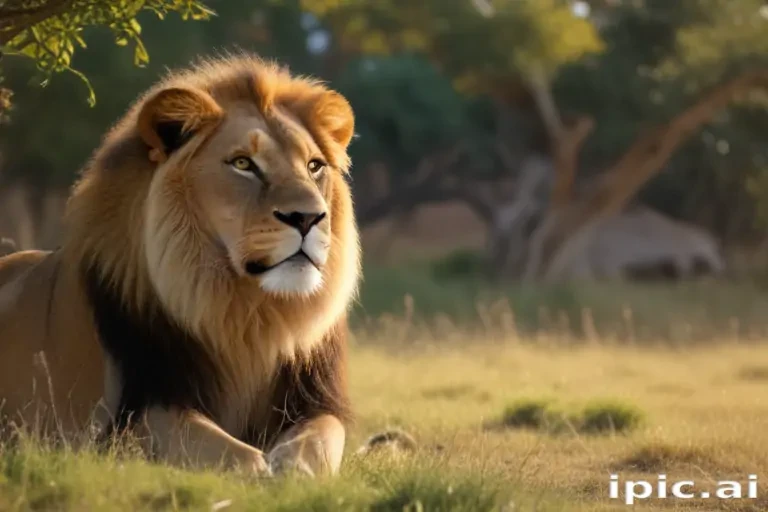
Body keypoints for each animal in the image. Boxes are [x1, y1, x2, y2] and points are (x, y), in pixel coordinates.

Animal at [0, 54, 361, 477]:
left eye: (314, 166)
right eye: (243, 163)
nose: (309, 218)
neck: (249, 316)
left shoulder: (315, 402)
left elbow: (321, 436)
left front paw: (294, 468)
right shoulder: (129, 416)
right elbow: (222, 448)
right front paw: (259, 470)